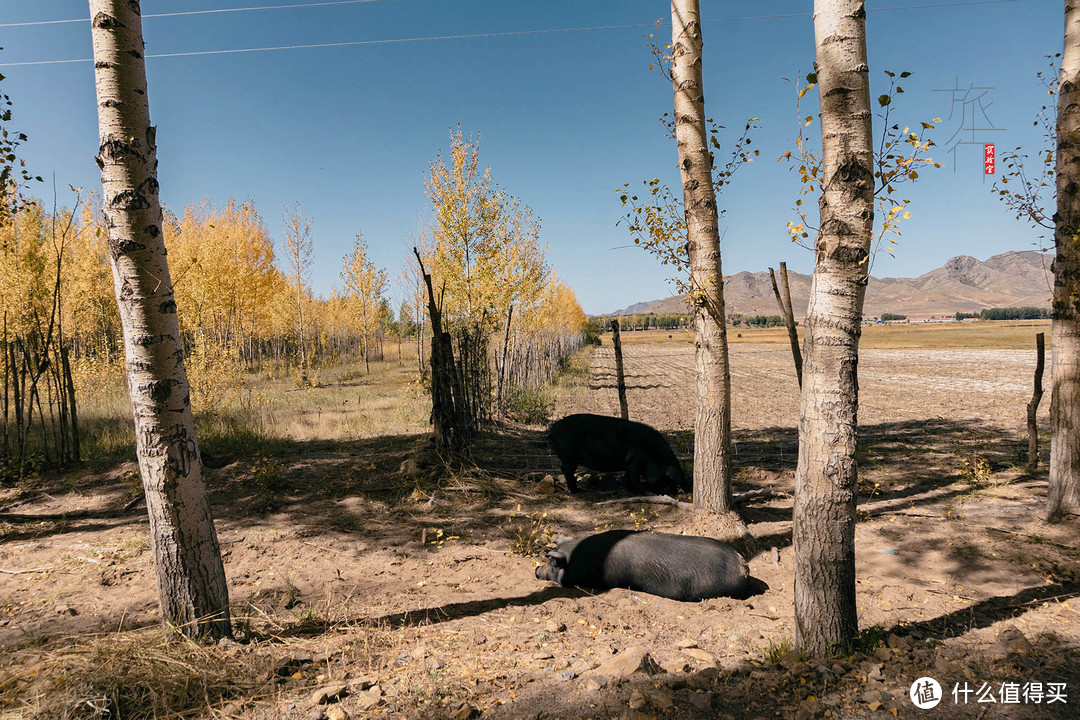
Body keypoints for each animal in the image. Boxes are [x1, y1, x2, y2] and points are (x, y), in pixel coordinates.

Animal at [544, 414, 686, 492]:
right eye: (667, 479)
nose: (673, 492)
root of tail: (552, 431)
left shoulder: (630, 465)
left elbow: (628, 476)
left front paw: (628, 489)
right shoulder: (634, 462)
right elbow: (634, 477)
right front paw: (640, 491)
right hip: (569, 456)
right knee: (566, 470)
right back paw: (577, 491)